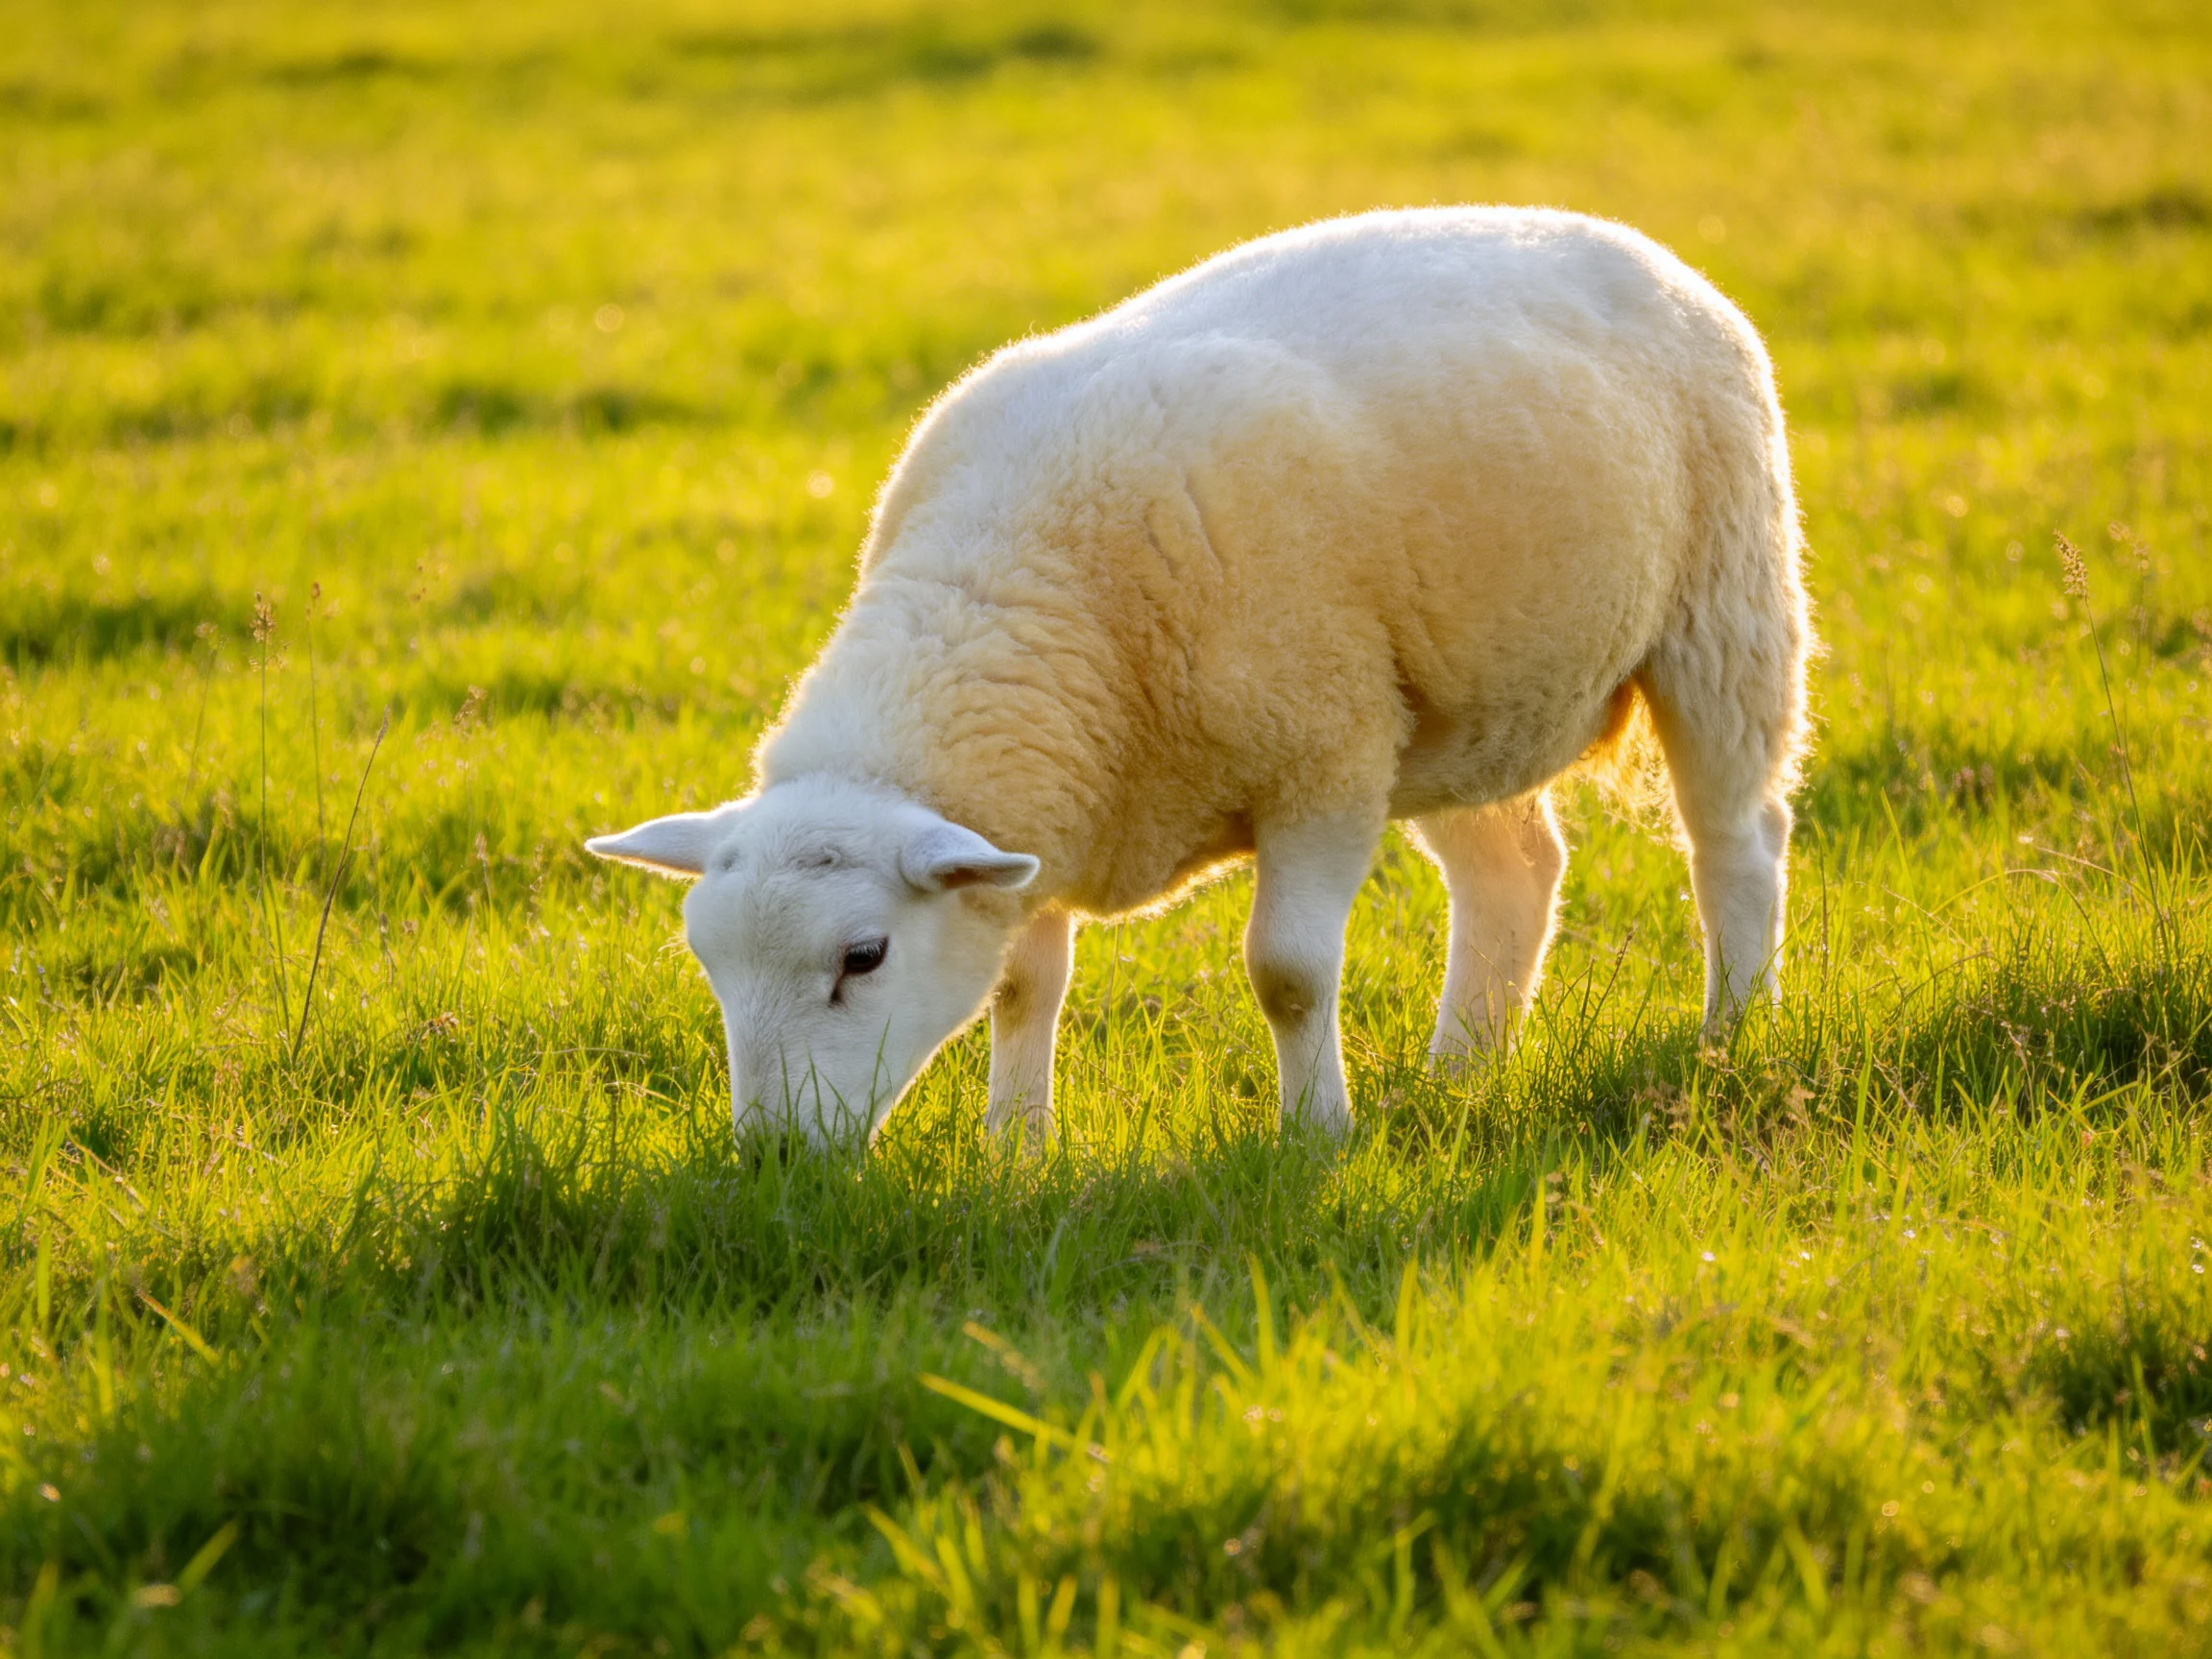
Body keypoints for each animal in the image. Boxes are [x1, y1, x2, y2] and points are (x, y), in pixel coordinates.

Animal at [587, 206, 1813, 1146]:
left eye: (863, 956)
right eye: (709, 963)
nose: (771, 1159)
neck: (1015, 587)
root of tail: (1624, 240)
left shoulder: (1322, 761)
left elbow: (1287, 972)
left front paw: (1315, 1137)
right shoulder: (1048, 809)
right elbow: (1021, 986)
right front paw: (1013, 1150)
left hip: (1723, 607)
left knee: (1736, 843)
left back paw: (1732, 1037)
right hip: (1454, 706)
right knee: (1516, 871)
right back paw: (1459, 1074)